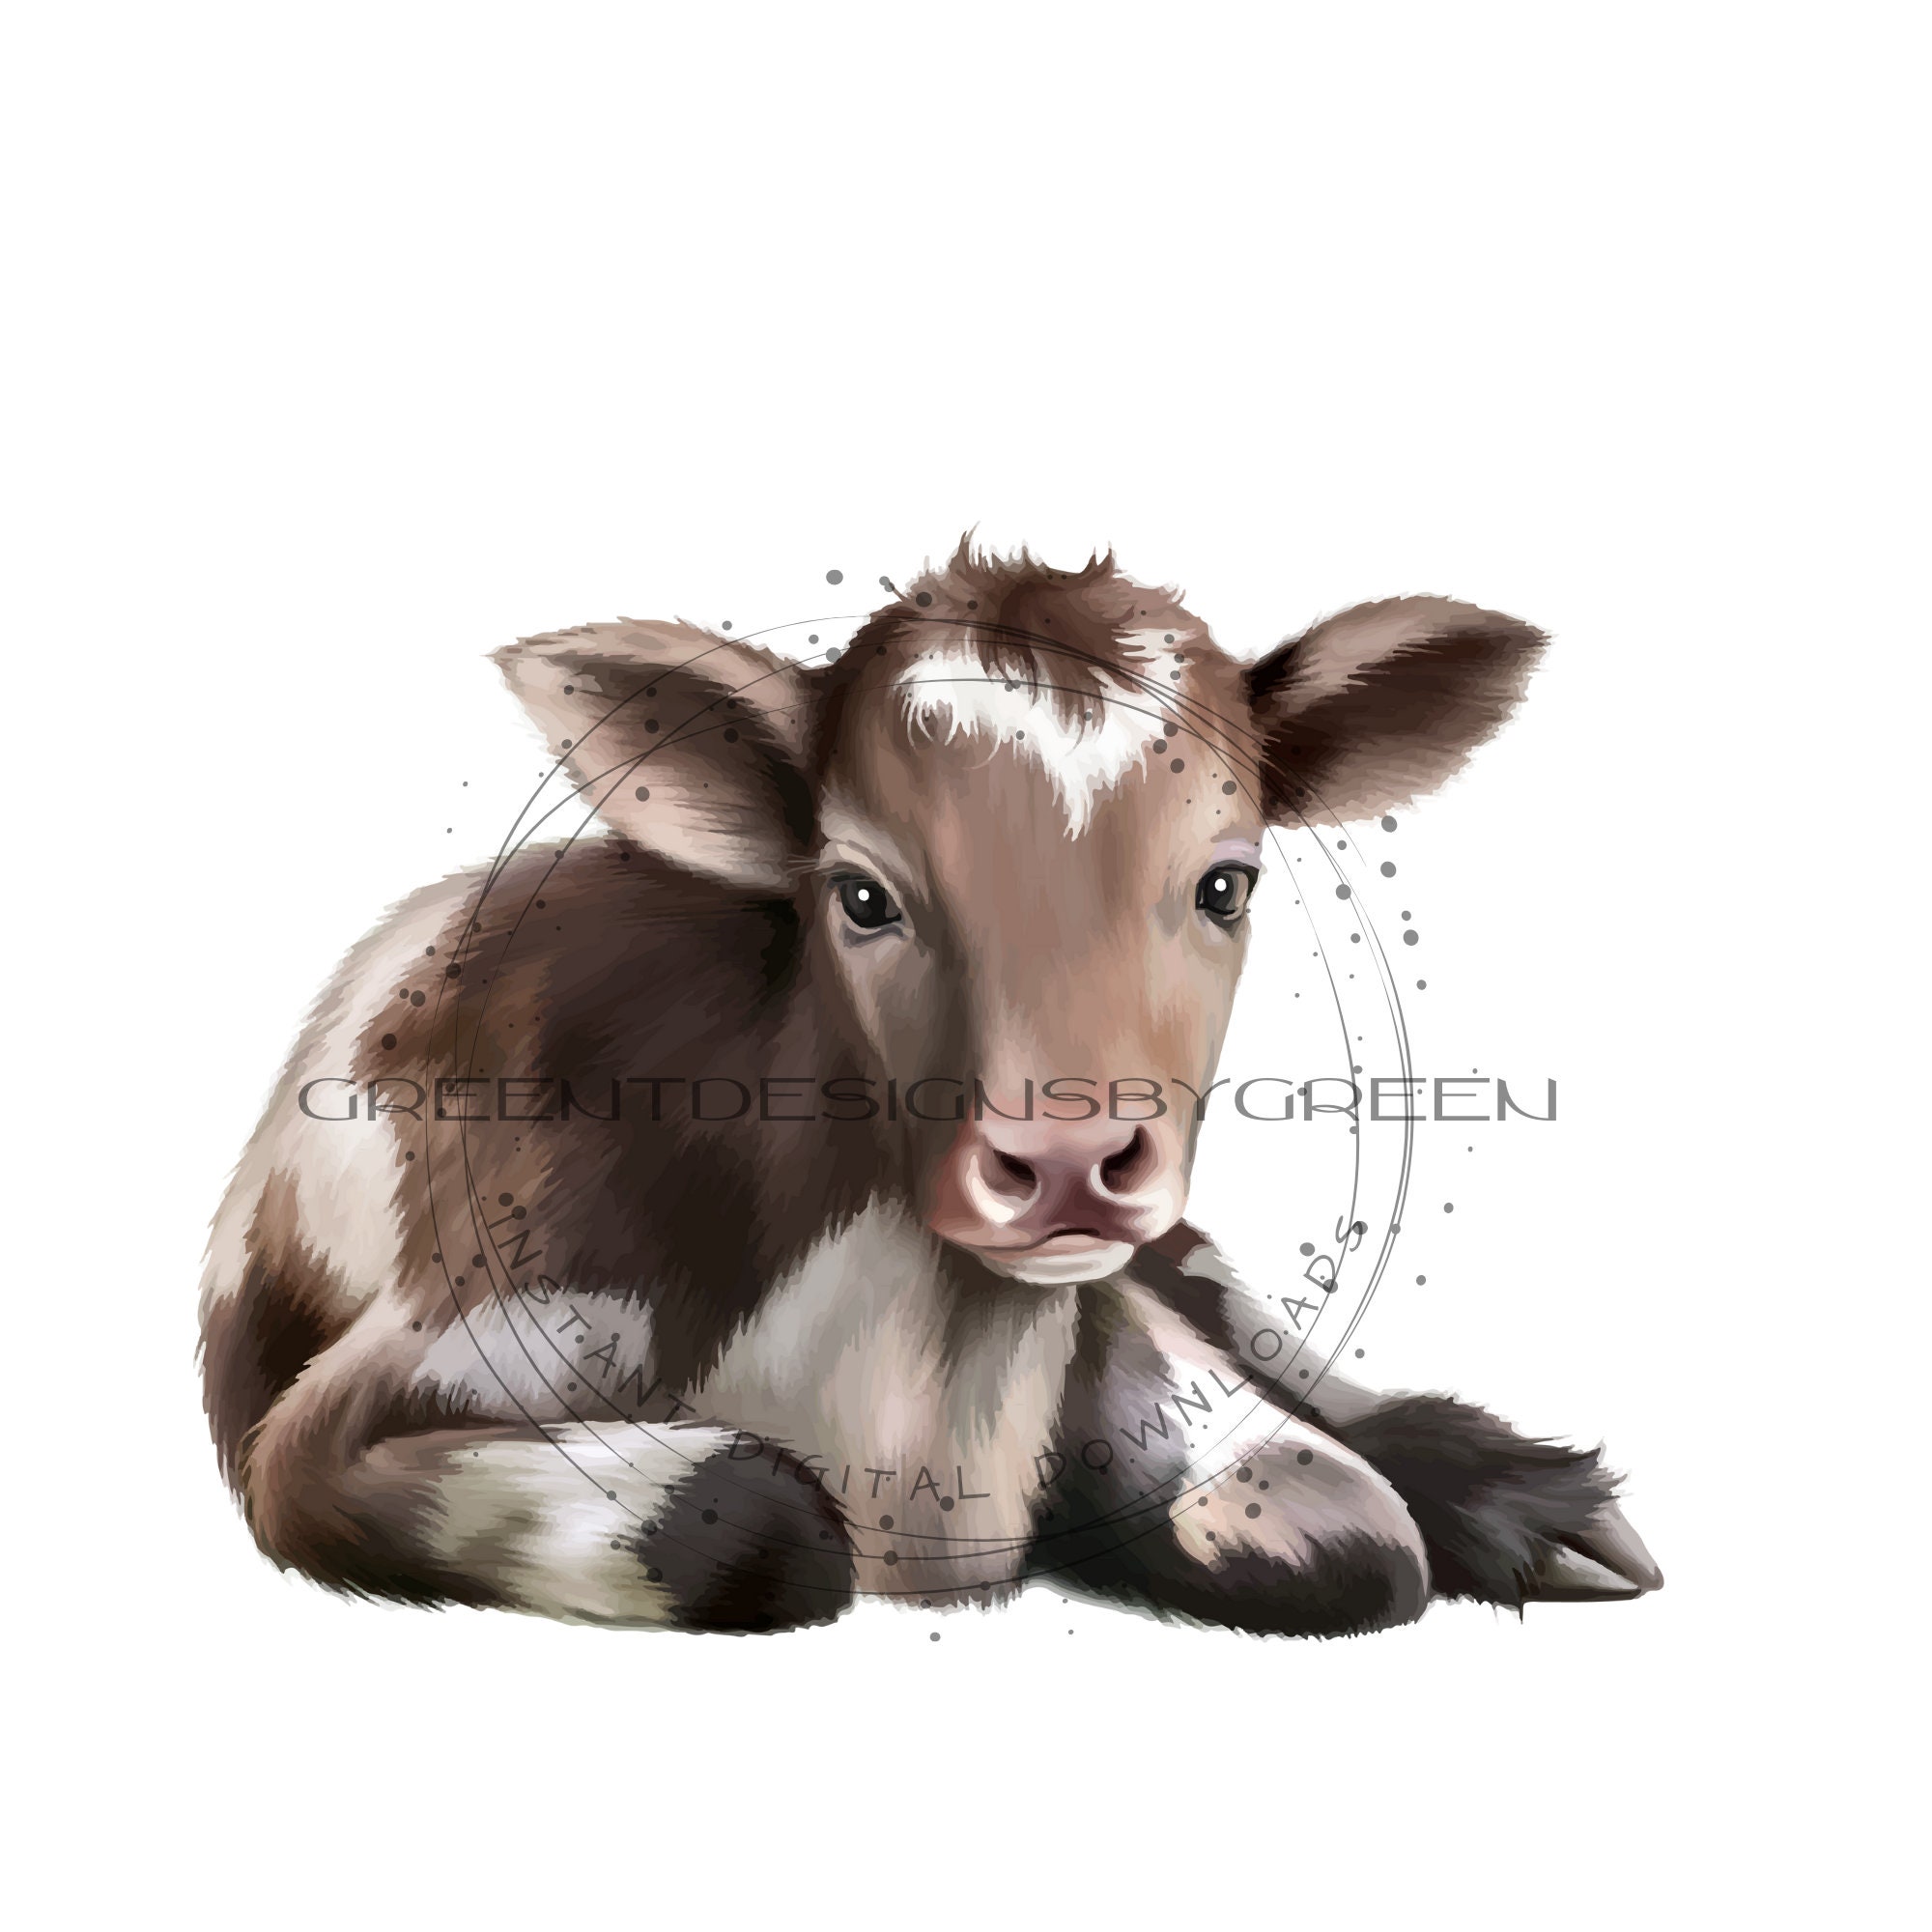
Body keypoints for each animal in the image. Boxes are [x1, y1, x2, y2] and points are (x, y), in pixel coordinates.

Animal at [199, 540, 1662, 1634]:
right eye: (861, 894)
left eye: (1226, 880)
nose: (1065, 1162)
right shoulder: (412, 1364)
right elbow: (751, 1516)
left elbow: (1342, 1524)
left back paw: (1535, 1501)